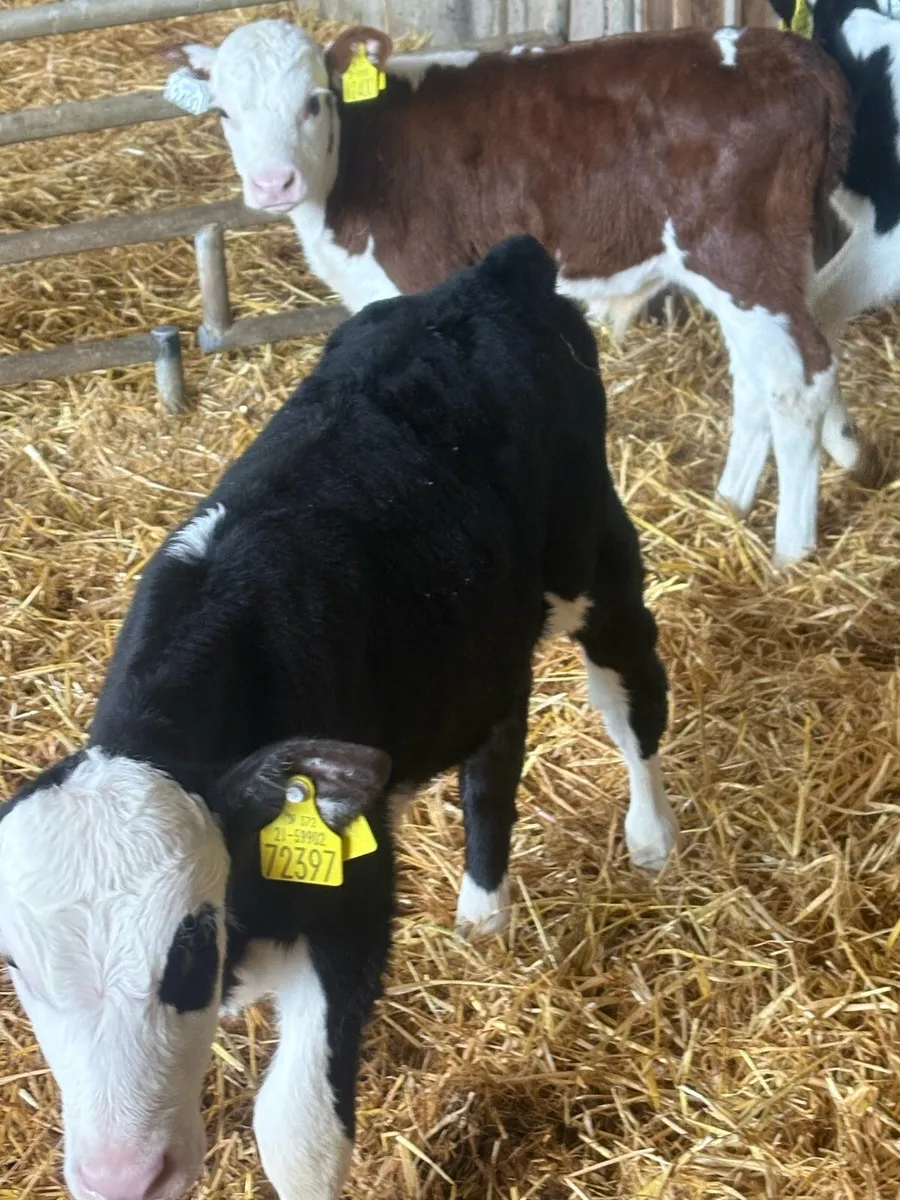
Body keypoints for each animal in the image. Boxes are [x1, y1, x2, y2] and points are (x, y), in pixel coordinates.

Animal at [0, 236, 676, 1200]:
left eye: (189, 944)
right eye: (16, 964)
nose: (123, 1174)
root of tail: (493, 272)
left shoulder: (352, 902)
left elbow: (299, 1137)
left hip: (598, 560)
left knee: (630, 695)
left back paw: (654, 841)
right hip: (483, 636)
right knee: (495, 755)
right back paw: (483, 913)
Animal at [162, 18, 873, 568]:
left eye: (314, 101)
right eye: (225, 112)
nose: (273, 183)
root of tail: (784, 50)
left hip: (741, 254)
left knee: (800, 380)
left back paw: (789, 552)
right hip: (752, 267)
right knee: (759, 376)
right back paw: (728, 506)